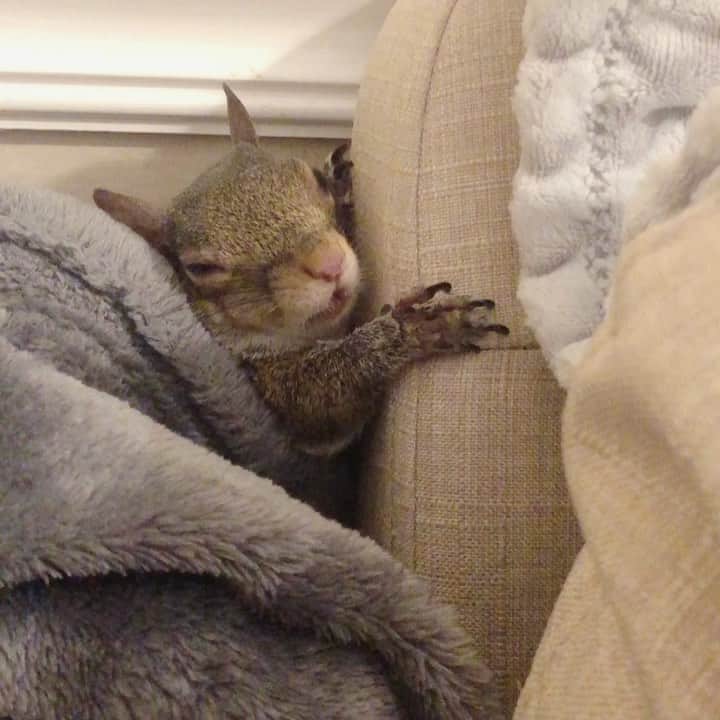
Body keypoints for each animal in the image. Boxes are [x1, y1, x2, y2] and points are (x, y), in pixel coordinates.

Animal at [93, 84, 508, 505]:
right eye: (200, 268)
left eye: (310, 177)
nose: (328, 263)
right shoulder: (266, 389)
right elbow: (320, 399)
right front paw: (412, 329)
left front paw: (342, 183)